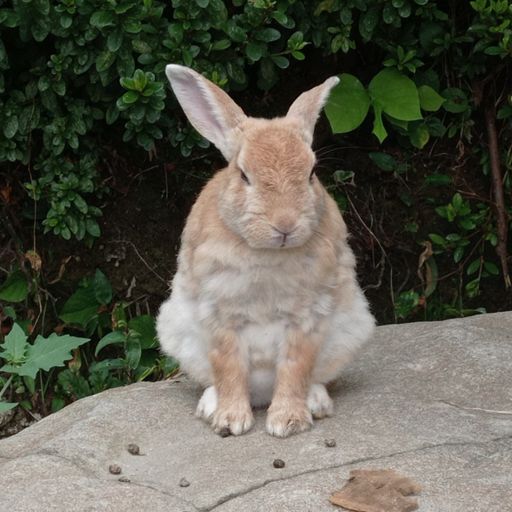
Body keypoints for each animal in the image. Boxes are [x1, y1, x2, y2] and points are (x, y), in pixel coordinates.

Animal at [156, 64, 376, 438]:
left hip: (352, 329)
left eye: (312, 172)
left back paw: (315, 403)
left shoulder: (306, 318)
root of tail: (260, 395)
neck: (265, 253)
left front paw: (287, 423)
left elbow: (295, 367)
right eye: (244, 175)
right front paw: (231, 422)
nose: (285, 224)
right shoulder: (220, 316)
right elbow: (228, 367)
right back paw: (210, 407)